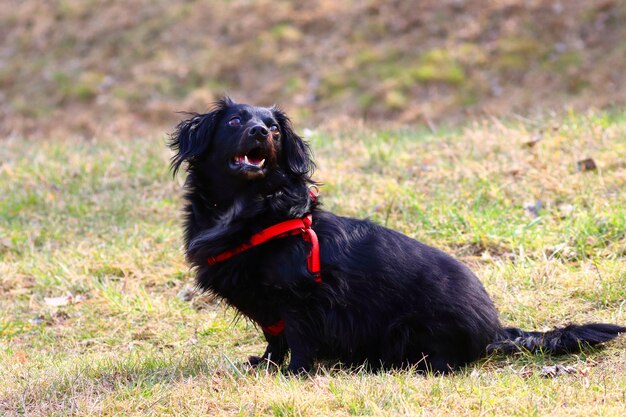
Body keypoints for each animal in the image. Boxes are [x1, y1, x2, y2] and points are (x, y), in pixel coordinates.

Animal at [168, 96, 620, 370]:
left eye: (275, 130)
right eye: (235, 120)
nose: (262, 132)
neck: (250, 207)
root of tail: (495, 330)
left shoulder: (300, 297)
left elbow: (298, 338)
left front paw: (293, 373)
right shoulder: (268, 305)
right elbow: (273, 336)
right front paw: (264, 365)